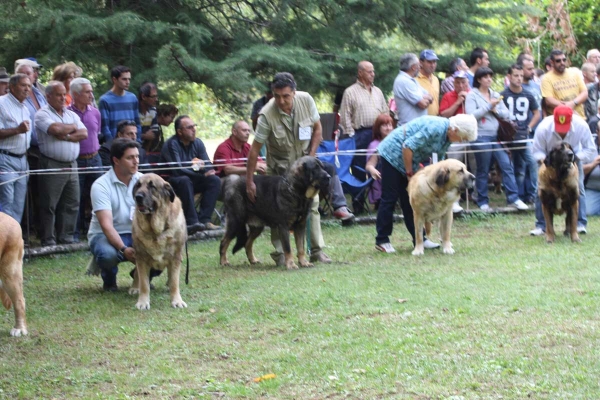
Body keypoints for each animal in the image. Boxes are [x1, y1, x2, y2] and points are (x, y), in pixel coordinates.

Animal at [131, 173, 188, 310]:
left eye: (152, 186)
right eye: (138, 185)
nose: (138, 197)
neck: (155, 230)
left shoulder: (176, 257)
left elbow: (174, 282)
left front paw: (177, 301)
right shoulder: (141, 257)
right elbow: (144, 284)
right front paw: (143, 302)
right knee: (136, 274)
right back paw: (135, 287)